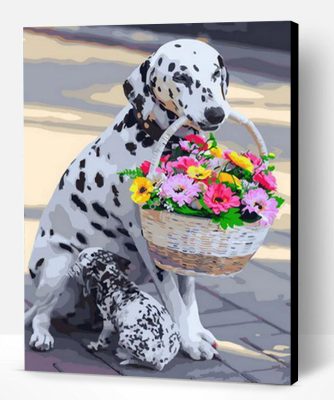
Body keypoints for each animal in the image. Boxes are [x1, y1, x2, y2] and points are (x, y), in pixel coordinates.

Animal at [25, 38, 232, 360]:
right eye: (181, 77)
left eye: (214, 73)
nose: (215, 113)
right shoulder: (148, 240)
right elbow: (174, 296)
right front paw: (189, 341)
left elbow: (188, 293)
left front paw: (197, 333)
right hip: (58, 266)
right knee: (40, 314)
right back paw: (42, 335)